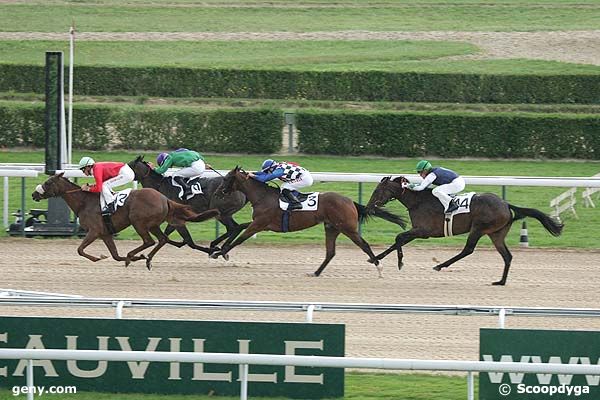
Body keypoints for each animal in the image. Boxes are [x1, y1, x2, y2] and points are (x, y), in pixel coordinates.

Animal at [31, 173, 219, 270]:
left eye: (48, 182)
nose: (34, 194)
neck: (84, 202)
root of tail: (164, 198)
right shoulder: (105, 233)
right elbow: (114, 255)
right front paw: (131, 258)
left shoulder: (94, 231)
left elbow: (80, 250)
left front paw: (98, 258)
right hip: (153, 224)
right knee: (162, 239)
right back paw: (147, 259)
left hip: (138, 222)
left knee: (149, 241)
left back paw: (134, 256)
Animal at [212, 167, 408, 276]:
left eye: (227, 178)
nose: (217, 192)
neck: (263, 197)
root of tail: (350, 201)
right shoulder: (261, 225)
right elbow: (240, 231)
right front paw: (218, 248)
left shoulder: (259, 224)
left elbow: (240, 239)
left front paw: (220, 252)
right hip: (331, 227)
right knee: (330, 252)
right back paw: (315, 272)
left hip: (348, 228)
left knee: (364, 245)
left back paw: (379, 268)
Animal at [366, 177, 564, 286]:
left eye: (378, 190)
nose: (369, 206)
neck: (418, 202)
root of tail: (506, 204)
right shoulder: (417, 231)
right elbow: (397, 241)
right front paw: (375, 258)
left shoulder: (423, 230)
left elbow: (398, 237)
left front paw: (400, 262)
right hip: (496, 233)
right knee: (507, 256)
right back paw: (500, 281)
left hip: (478, 227)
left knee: (468, 249)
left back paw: (440, 265)